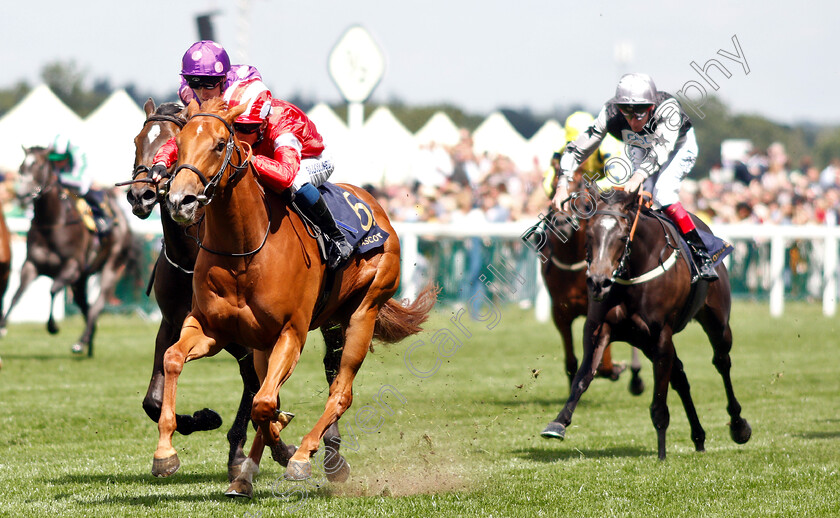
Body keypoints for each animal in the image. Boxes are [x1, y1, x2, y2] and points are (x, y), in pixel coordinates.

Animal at [1, 146, 134, 358]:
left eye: (39, 165)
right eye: (22, 166)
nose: (21, 195)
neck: (52, 222)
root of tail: (124, 222)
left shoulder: (72, 266)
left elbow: (53, 289)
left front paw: (52, 326)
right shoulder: (31, 265)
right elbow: (16, 294)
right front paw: (3, 326)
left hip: (112, 267)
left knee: (96, 306)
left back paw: (81, 342)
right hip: (81, 281)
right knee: (87, 308)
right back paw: (89, 342)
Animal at [153, 98, 436, 500]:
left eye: (221, 144)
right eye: (178, 143)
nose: (181, 201)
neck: (243, 251)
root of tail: (377, 207)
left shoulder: (292, 332)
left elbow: (264, 402)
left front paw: (290, 451)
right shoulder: (210, 329)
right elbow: (175, 360)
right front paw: (165, 454)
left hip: (362, 311)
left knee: (340, 390)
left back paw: (303, 455)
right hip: (276, 339)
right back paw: (245, 477)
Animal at [540, 190, 752, 460]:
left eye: (622, 237)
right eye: (590, 235)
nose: (598, 282)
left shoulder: (660, 334)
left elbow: (659, 399)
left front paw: (661, 453)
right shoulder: (600, 329)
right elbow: (582, 378)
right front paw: (558, 423)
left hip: (717, 322)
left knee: (722, 362)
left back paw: (738, 426)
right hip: (645, 342)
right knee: (680, 376)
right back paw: (699, 437)